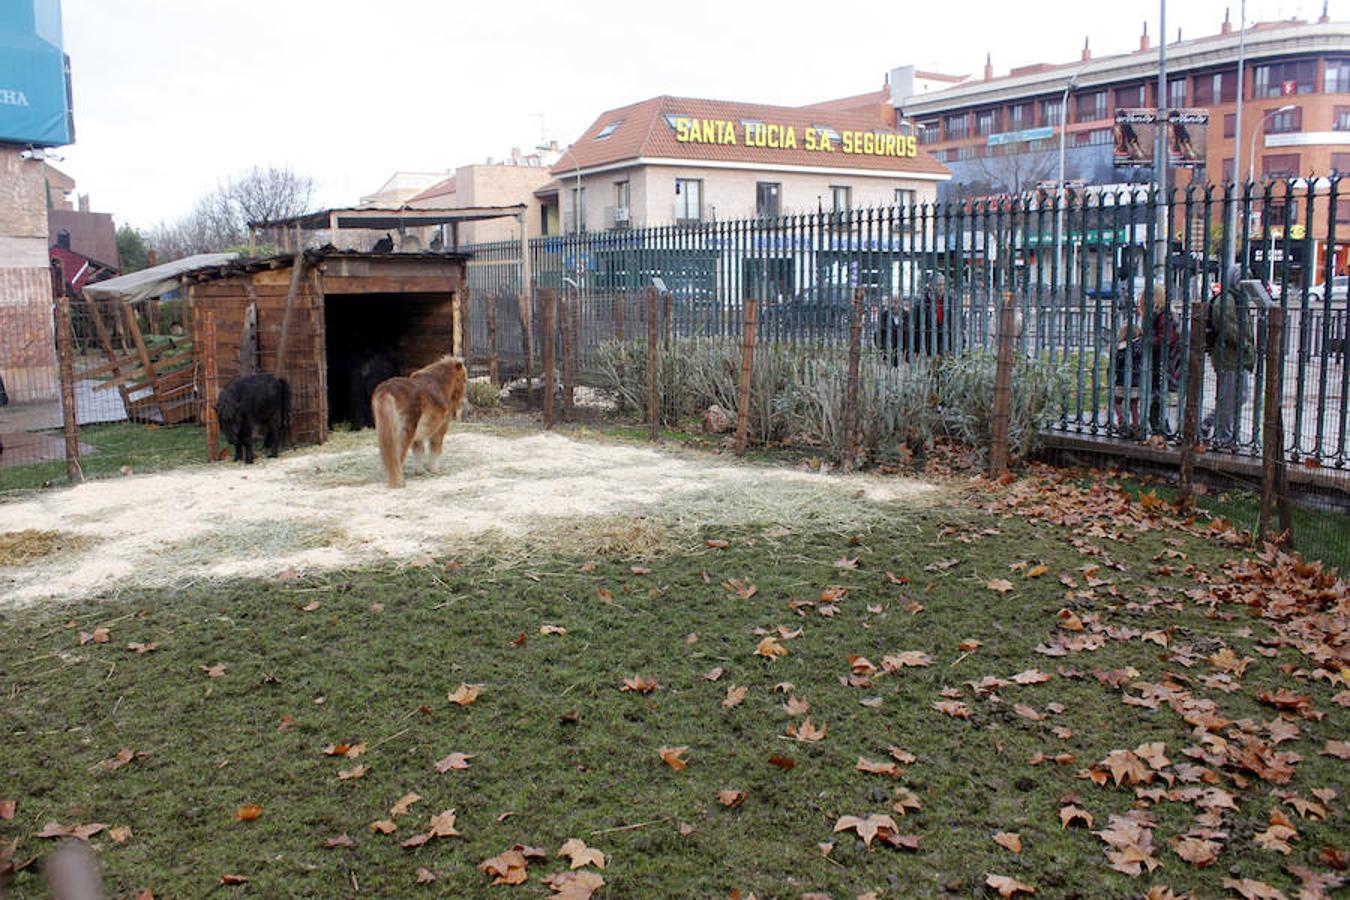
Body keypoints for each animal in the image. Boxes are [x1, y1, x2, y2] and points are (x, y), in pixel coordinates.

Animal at [372, 356, 467, 488]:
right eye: (464, 380)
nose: (462, 402)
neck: (439, 384)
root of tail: (387, 390)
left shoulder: (418, 436)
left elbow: (419, 452)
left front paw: (420, 472)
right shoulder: (440, 430)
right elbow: (435, 449)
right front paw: (435, 470)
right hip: (404, 433)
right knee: (398, 457)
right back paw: (399, 482)